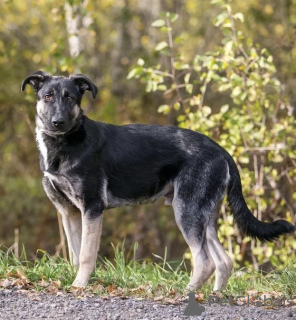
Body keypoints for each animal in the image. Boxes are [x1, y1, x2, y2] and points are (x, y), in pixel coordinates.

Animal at [22, 70, 294, 290]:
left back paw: (187, 293)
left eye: (70, 98)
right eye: (48, 96)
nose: (58, 122)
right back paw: (215, 295)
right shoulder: (68, 212)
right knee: (224, 261)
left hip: (186, 212)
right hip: (203, 216)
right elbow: (75, 255)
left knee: (205, 261)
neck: (64, 145)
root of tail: (221, 151)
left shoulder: (92, 208)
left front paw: (79, 287)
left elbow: (87, 255)